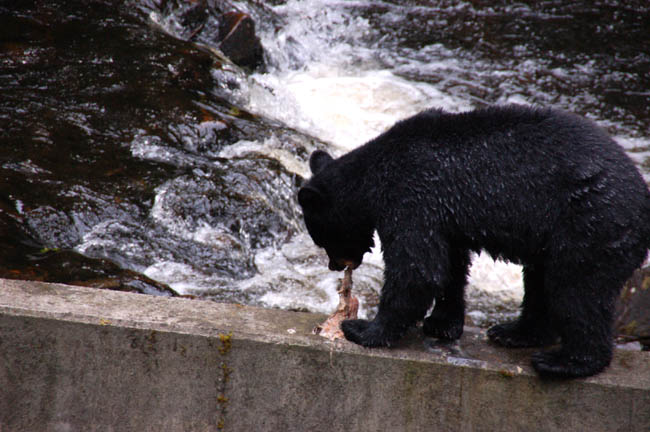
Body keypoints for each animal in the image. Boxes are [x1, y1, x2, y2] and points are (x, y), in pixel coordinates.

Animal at [298, 104, 650, 378]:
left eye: (321, 237)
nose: (336, 265)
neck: (374, 175)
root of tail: (642, 205)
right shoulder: (444, 216)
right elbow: (450, 266)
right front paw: (441, 324)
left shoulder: (411, 198)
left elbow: (417, 268)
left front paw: (363, 329)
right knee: (540, 282)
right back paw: (514, 333)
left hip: (590, 224)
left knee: (576, 290)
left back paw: (565, 362)